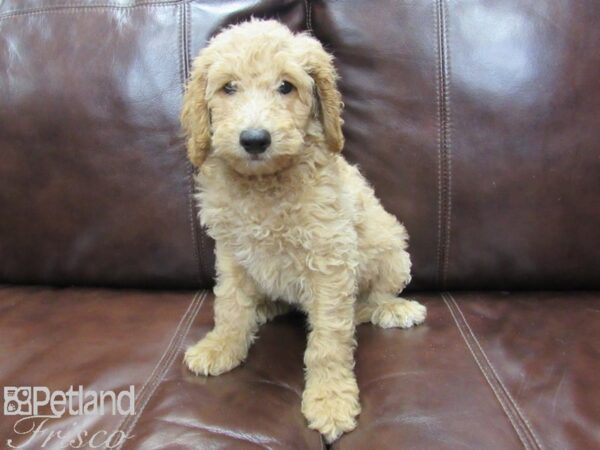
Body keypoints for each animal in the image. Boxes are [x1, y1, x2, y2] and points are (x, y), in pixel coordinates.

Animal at [180, 19, 424, 442]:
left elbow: (328, 340)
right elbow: (230, 305)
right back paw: (264, 308)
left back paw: (392, 309)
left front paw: (330, 400)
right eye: (228, 87)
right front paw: (222, 346)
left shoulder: (330, 260)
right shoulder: (231, 253)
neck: (264, 185)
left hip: (393, 251)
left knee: (373, 299)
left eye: (286, 86)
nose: (255, 139)